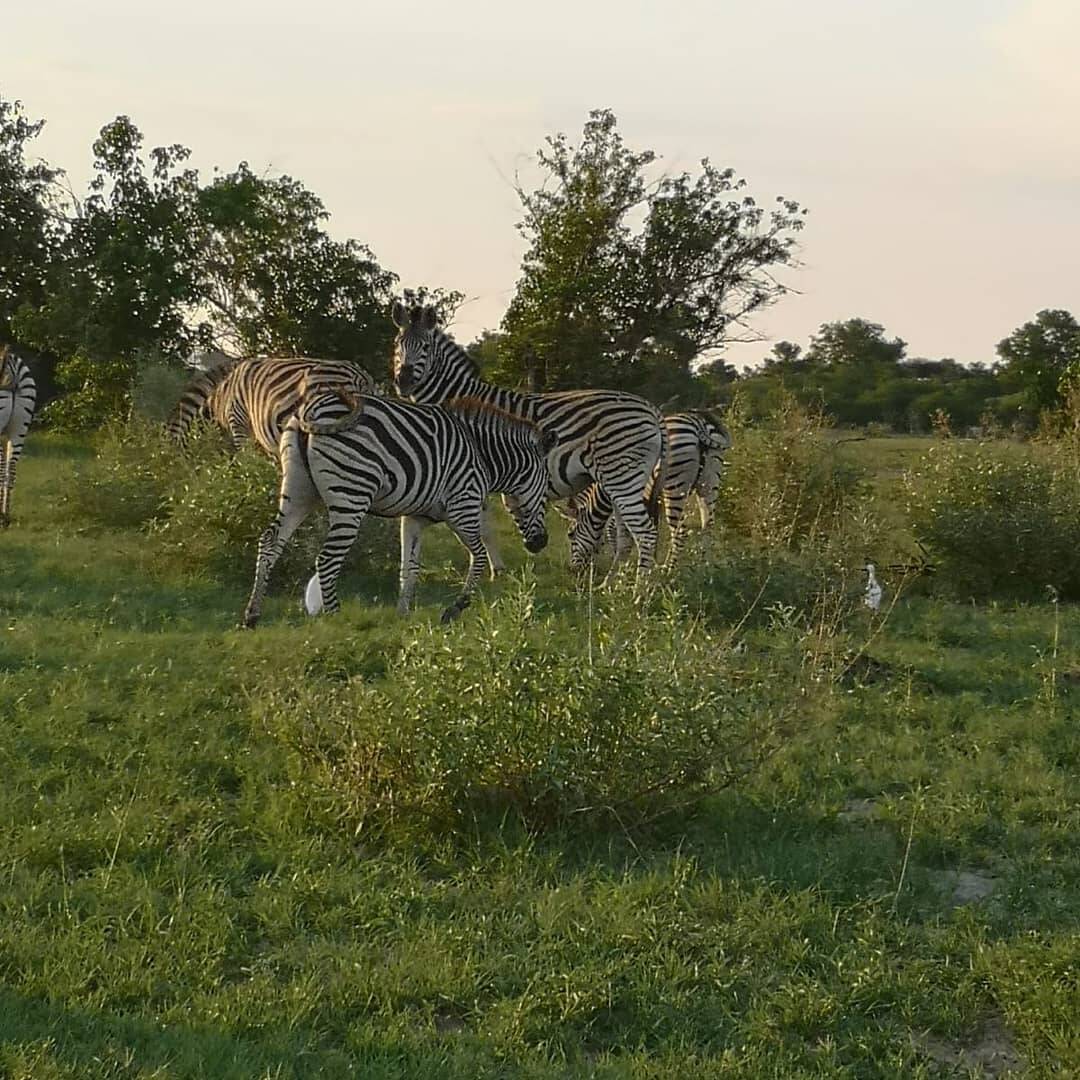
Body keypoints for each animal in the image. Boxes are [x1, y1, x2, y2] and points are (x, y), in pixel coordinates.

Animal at [240, 390, 552, 630]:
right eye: (546, 495)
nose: (541, 543)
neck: (483, 454)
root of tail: (312, 406)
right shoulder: (462, 506)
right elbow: (478, 557)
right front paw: (456, 608)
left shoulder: (414, 517)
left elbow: (409, 566)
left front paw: (403, 615)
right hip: (351, 494)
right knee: (327, 559)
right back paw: (336, 619)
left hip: (298, 492)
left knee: (270, 542)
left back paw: (252, 616)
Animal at [390, 304, 665, 574]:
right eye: (397, 345)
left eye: (425, 348)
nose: (403, 381)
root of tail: (650, 409)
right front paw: (498, 569)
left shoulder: (471, 473)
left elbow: (483, 528)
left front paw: (496, 571)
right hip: (626, 480)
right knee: (627, 535)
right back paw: (614, 581)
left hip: (621, 476)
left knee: (645, 533)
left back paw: (638, 586)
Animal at [561, 408, 730, 570]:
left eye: (570, 534)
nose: (574, 570)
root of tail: (698, 424)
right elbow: (652, 527)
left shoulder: (623, 499)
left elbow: (614, 531)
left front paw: (623, 563)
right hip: (709, 484)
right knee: (707, 527)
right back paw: (705, 569)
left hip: (674, 486)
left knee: (680, 533)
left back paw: (669, 571)